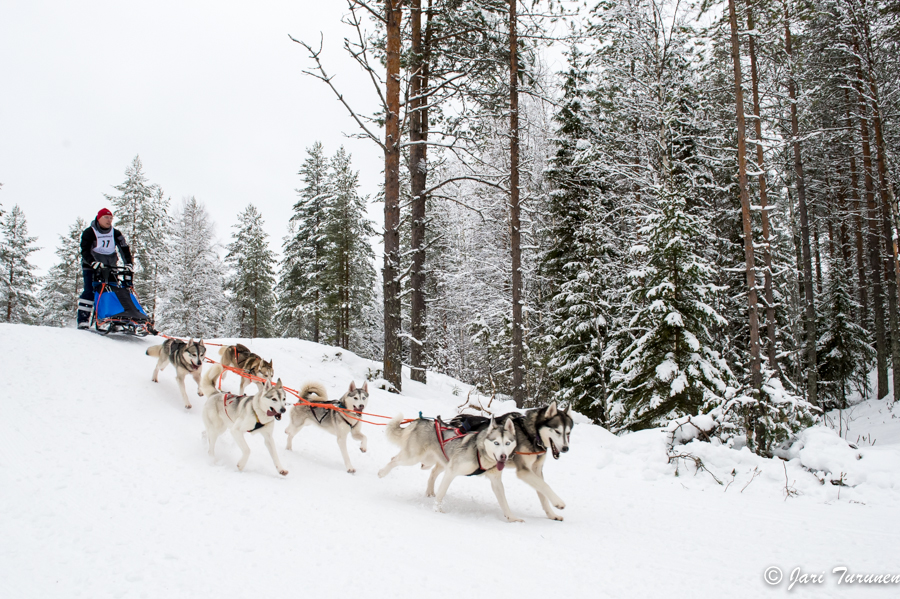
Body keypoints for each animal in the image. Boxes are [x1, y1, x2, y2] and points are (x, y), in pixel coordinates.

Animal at [378, 418, 520, 520]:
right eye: (496, 443)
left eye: (507, 443)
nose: (503, 456)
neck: (480, 453)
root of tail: (421, 421)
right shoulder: (451, 471)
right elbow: (442, 493)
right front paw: (437, 510)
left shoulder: (496, 482)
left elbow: (504, 502)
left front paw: (512, 518)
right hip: (413, 458)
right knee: (394, 459)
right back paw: (382, 472)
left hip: (433, 461)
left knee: (432, 472)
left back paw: (430, 491)